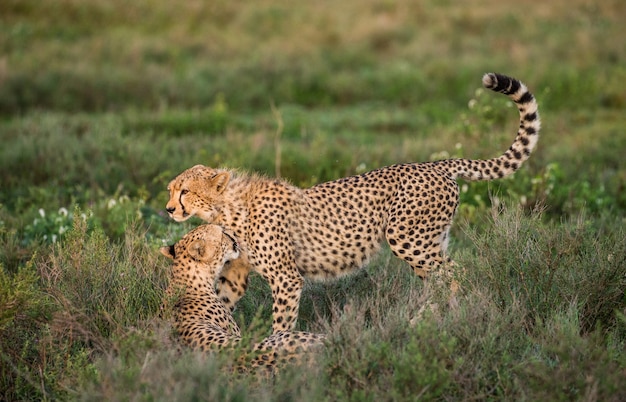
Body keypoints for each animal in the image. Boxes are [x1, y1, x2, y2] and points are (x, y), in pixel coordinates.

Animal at [165, 74, 536, 332]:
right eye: (171, 190)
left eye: (184, 191)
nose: (169, 209)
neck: (227, 209)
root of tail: (436, 164)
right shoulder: (237, 273)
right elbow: (220, 301)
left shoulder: (286, 278)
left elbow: (282, 319)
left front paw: (277, 348)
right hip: (431, 242)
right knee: (440, 279)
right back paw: (429, 321)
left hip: (408, 238)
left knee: (456, 273)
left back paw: (438, 320)